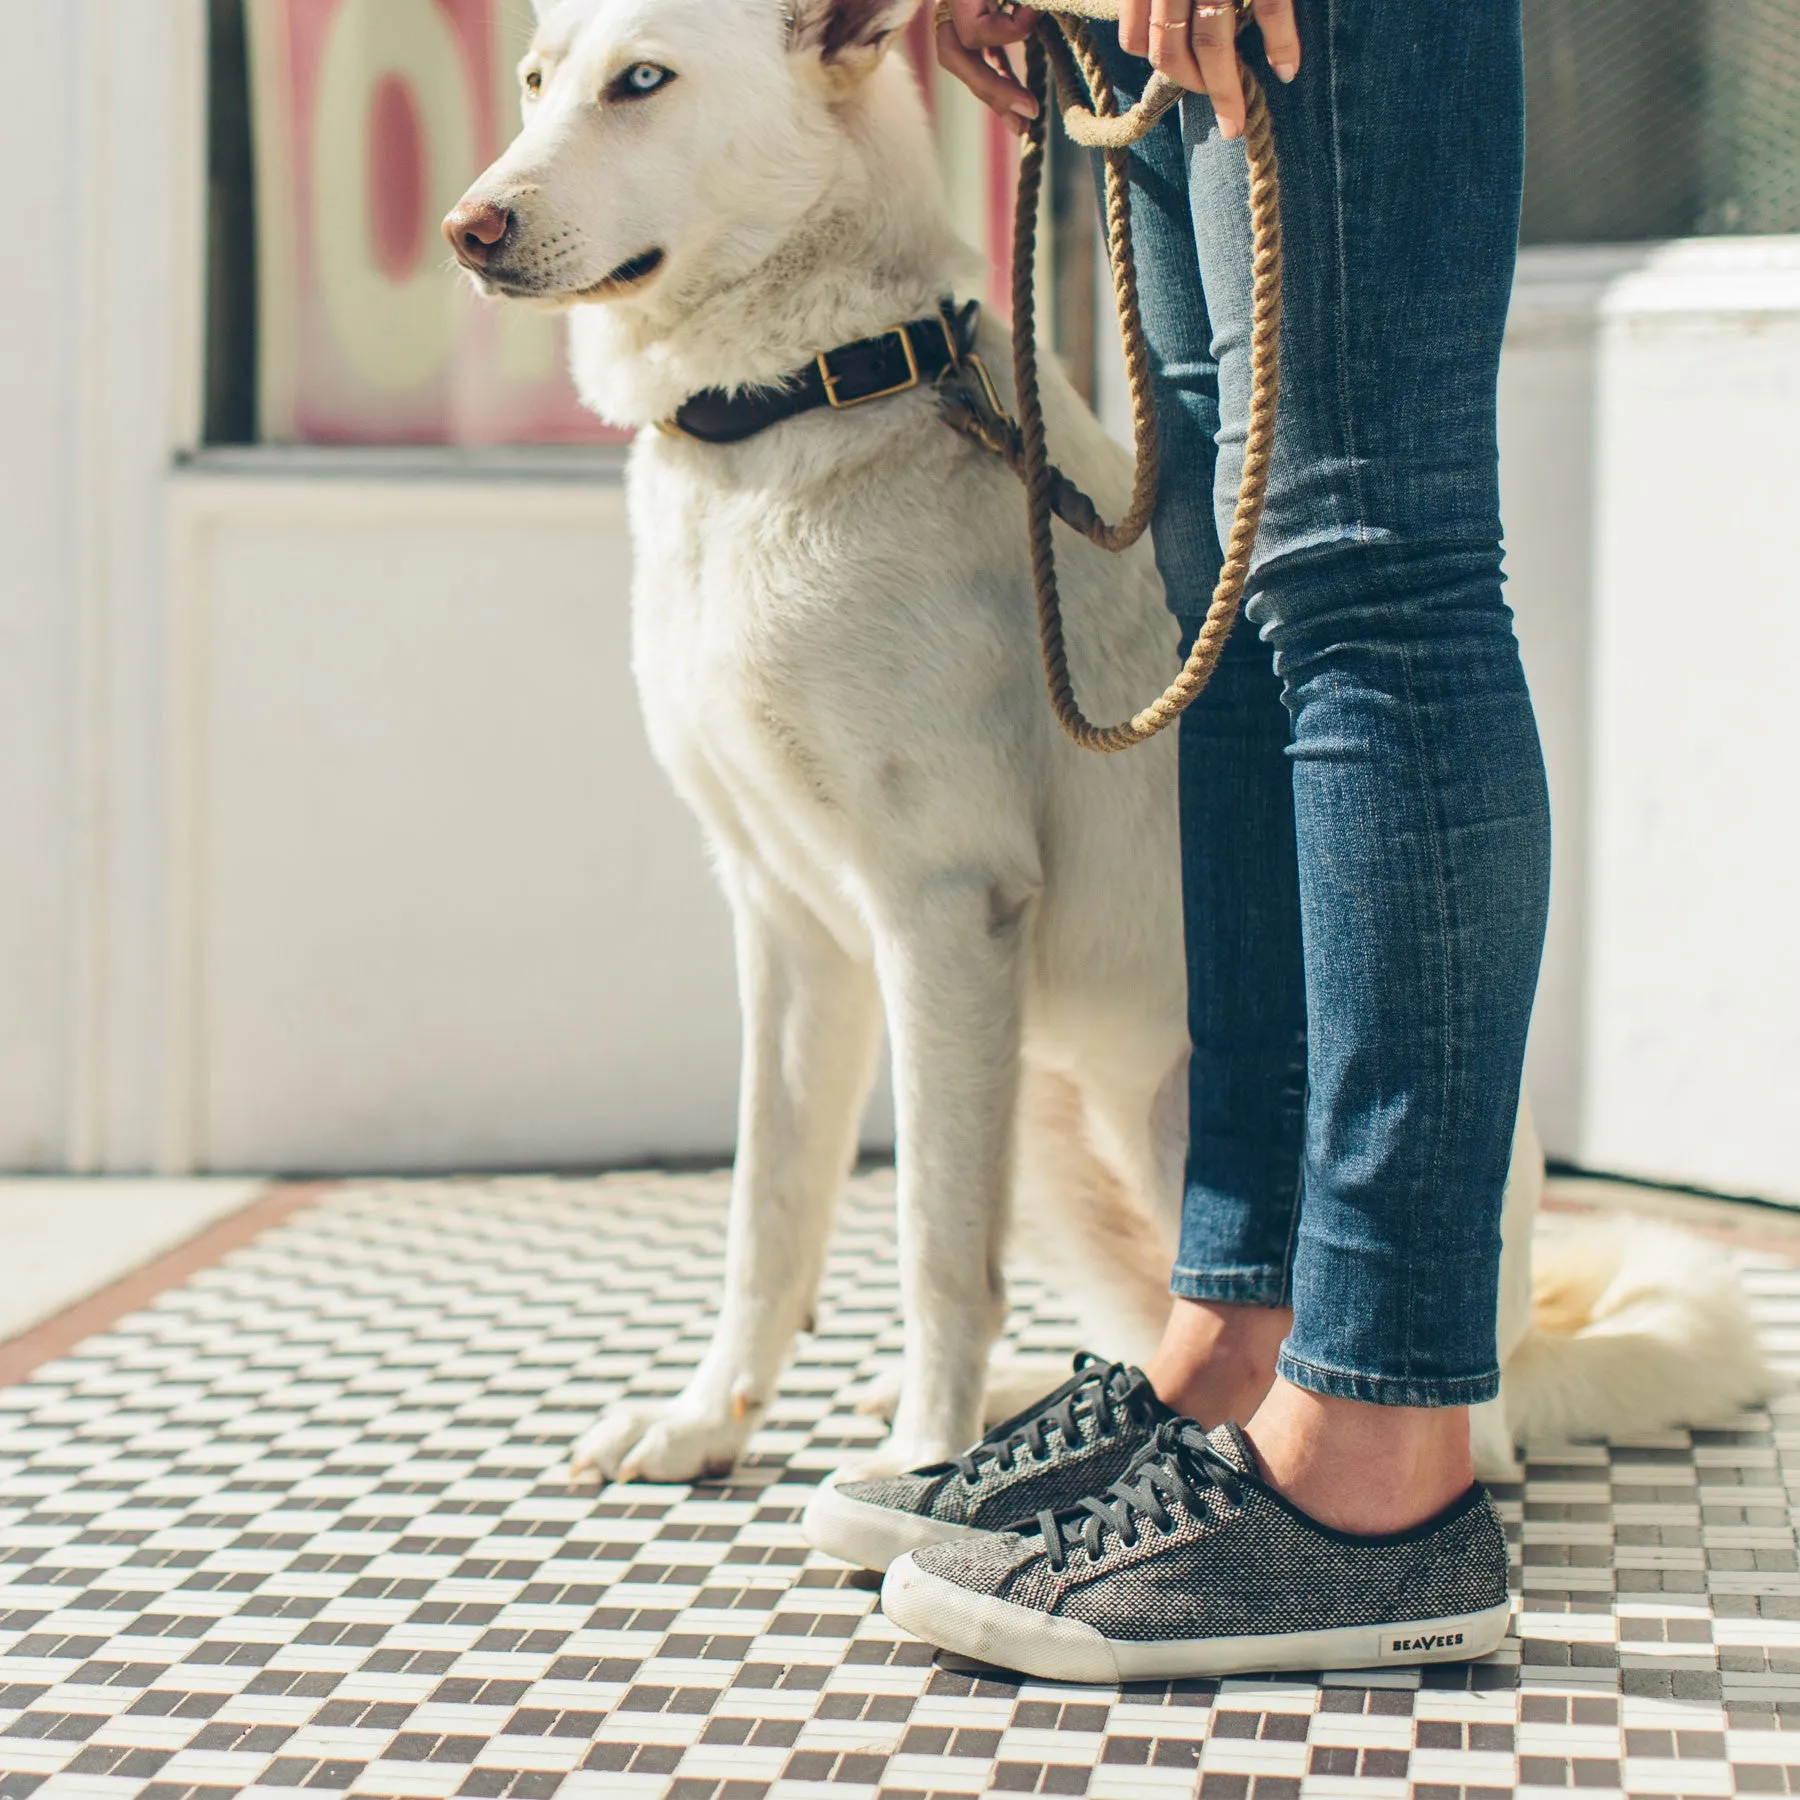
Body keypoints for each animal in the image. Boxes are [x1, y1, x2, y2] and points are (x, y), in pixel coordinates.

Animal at [442, 0, 1764, 1490]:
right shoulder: (788, 928)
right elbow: (767, 1219)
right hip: (1053, 1109)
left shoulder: (945, 911)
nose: (466, 229)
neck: (816, 391)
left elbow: (936, 1248)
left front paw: (923, 1456)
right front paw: (707, 1418)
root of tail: (1518, 1356)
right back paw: (1045, 1404)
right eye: (537, 81)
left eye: (644, 82)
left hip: (1165, 1113)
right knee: (1145, 1320)